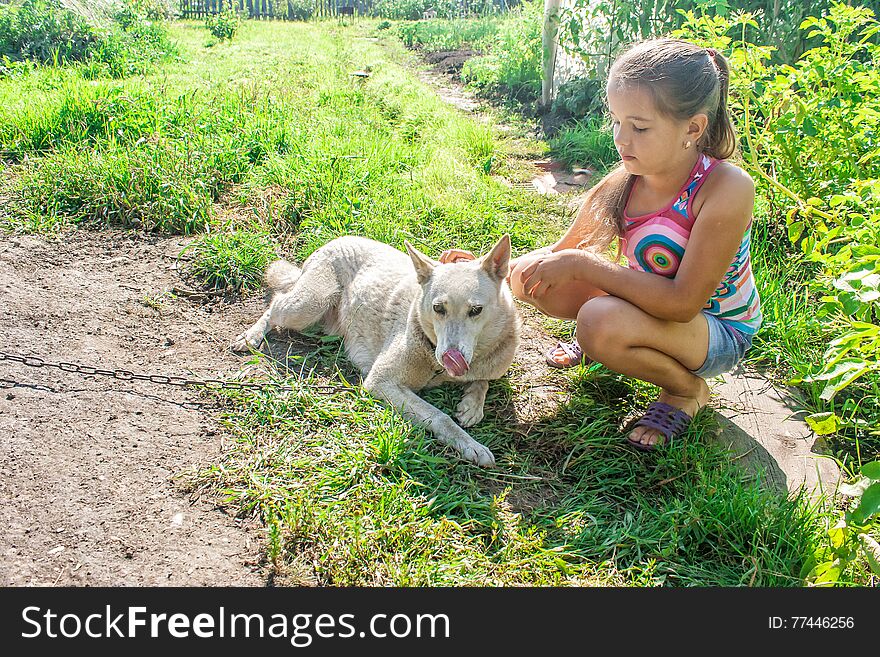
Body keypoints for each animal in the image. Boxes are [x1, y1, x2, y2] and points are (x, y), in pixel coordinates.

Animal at [234, 233, 524, 464]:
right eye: (438, 308)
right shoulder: (381, 382)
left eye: (476, 310)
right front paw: (470, 445)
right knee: (275, 304)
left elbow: (483, 381)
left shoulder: (489, 366)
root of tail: (336, 240)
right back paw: (251, 336)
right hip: (308, 305)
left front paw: (472, 405)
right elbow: (440, 417)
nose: (449, 358)